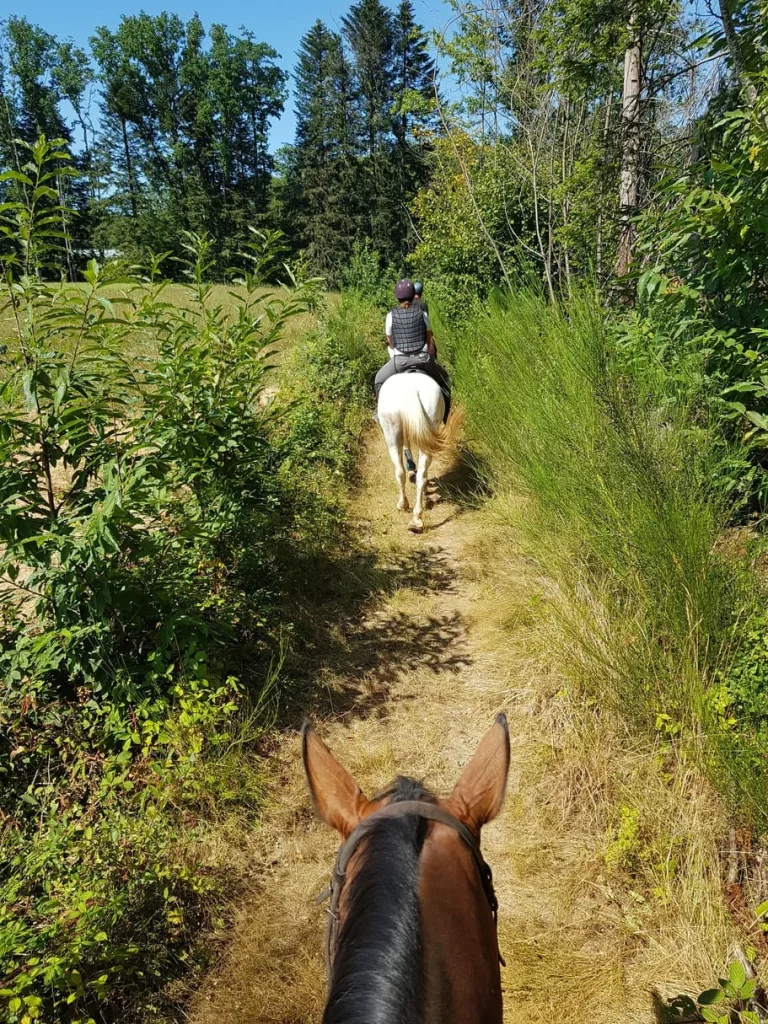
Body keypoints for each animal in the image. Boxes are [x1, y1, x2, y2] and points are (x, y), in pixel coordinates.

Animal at [378, 376, 450, 536]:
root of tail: (410, 390)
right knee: (417, 475)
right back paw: (416, 520)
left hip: (392, 435)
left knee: (401, 472)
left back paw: (404, 505)